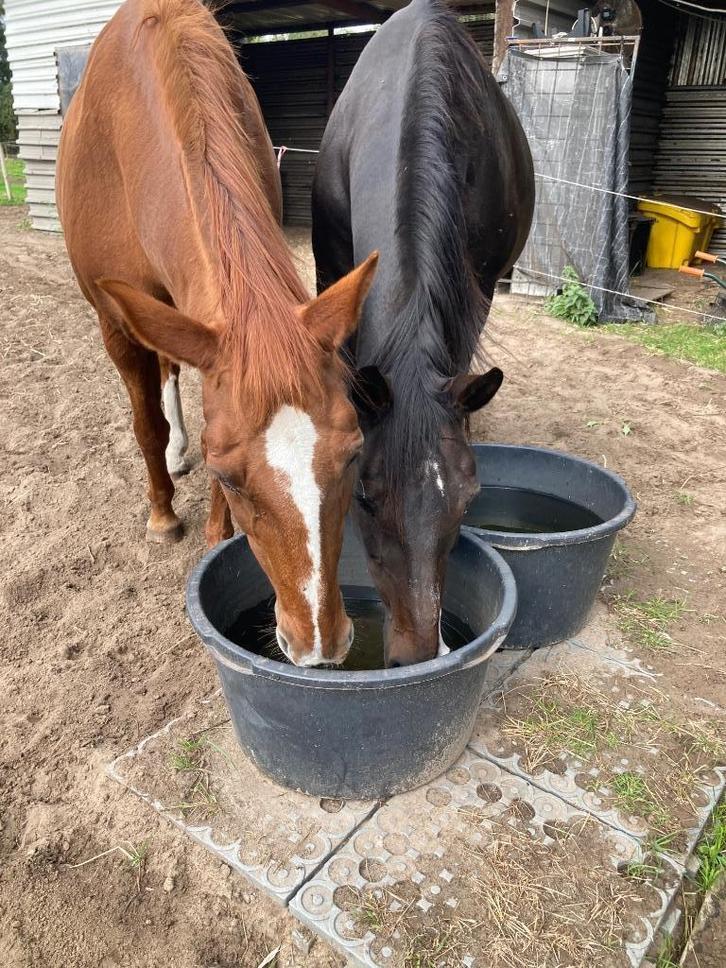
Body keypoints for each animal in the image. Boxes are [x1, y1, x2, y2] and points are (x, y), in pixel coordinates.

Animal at [56, 0, 378, 668]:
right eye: (231, 476)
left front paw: (213, 533)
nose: (318, 645)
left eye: (355, 452)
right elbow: (147, 422)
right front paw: (164, 514)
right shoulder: (116, 321)